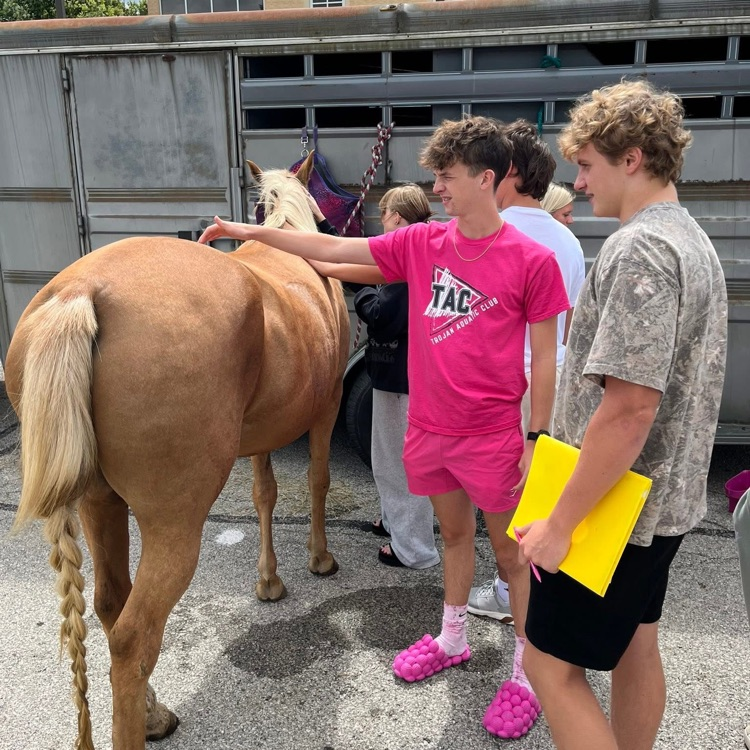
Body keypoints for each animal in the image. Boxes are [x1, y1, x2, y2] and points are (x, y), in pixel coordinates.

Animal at [4, 152, 350, 750]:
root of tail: (80, 293)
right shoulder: (325, 410)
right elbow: (317, 481)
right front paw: (319, 559)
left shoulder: (261, 436)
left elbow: (264, 495)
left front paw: (269, 581)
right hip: (175, 525)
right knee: (132, 637)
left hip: (99, 502)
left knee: (110, 604)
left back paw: (152, 713)